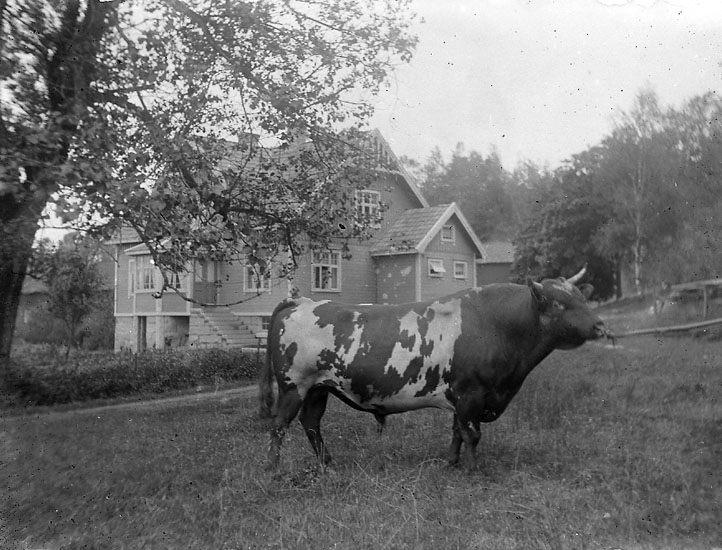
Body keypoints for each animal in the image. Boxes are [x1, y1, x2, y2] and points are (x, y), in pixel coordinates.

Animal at [258, 267, 606, 469]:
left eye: (581, 297)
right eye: (559, 303)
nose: (600, 325)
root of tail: (301, 301)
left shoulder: (463, 397)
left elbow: (457, 432)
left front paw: (451, 464)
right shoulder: (472, 394)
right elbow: (472, 434)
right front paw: (474, 470)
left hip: (319, 388)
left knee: (311, 423)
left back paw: (327, 463)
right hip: (294, 385)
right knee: (279, 425)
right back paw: (274, 470)